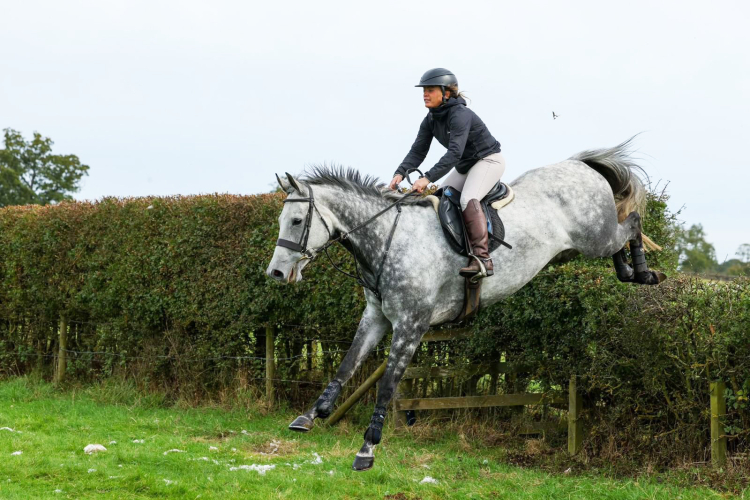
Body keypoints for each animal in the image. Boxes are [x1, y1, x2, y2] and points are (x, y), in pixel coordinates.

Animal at [265, 139, 665, 471]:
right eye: (282, 219)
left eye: (297, 220)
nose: (275, 273)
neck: (387, 239)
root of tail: (580, 165)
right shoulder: (377, 317)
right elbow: (347, 365)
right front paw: (310, 416)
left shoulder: (411, 324)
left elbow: (388, 384)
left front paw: (367, 449)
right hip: (592, 240)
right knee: (621, 234)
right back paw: (628, 271)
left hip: (594, 236)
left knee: (630, 223)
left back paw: (644, 273)